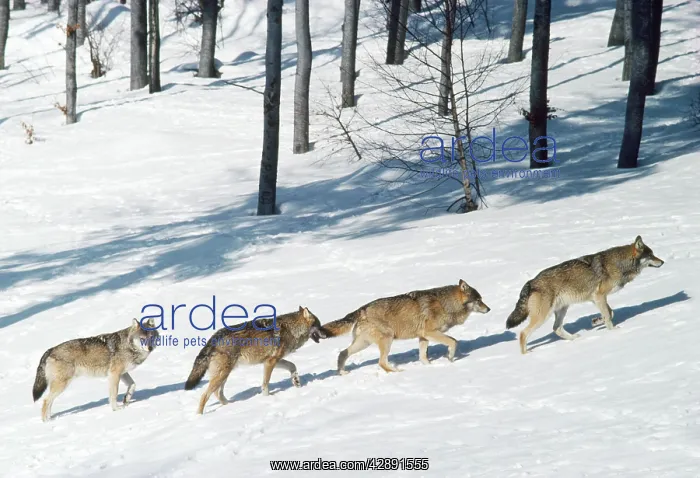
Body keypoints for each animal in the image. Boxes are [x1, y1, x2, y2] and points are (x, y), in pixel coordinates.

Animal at [184, 306, 328, 415]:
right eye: (320, 325)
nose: (327, 334)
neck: (292, 329)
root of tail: (214, 338)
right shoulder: (270, 362)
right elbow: (265, 383)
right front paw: (267, 398)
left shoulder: (273, 360)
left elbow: (292, 366)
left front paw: (296, 381)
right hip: (222, 374)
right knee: (205, 395)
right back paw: (199, 416)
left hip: (224, 374)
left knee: (217, 393)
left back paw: (231, 406)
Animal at [313, 280, 490, 374]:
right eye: (479, 300)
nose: (489, 309)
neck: (446, 304)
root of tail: (362, 309)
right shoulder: (430, 332)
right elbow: (454, 341)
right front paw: (451, 359)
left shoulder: (423, 336)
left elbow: (423, 356)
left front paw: (430, 367)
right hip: (387, 339)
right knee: (381, 362)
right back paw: (397, 372)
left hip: (364, 343)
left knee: (342, 353)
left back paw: (342, 372)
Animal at [506, 235, 664, 354]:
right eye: (651, 255)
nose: (662, 262)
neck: (619, 264)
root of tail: (530, 282)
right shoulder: (599, 296)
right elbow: (608, 315)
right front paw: (612, 331)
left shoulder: (596, 298)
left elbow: (610, 312)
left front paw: (597, 321)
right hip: (542, 316)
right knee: (523, 334)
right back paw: (526, 354)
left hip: (562, 309)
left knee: (556, 328)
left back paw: (574, 338)